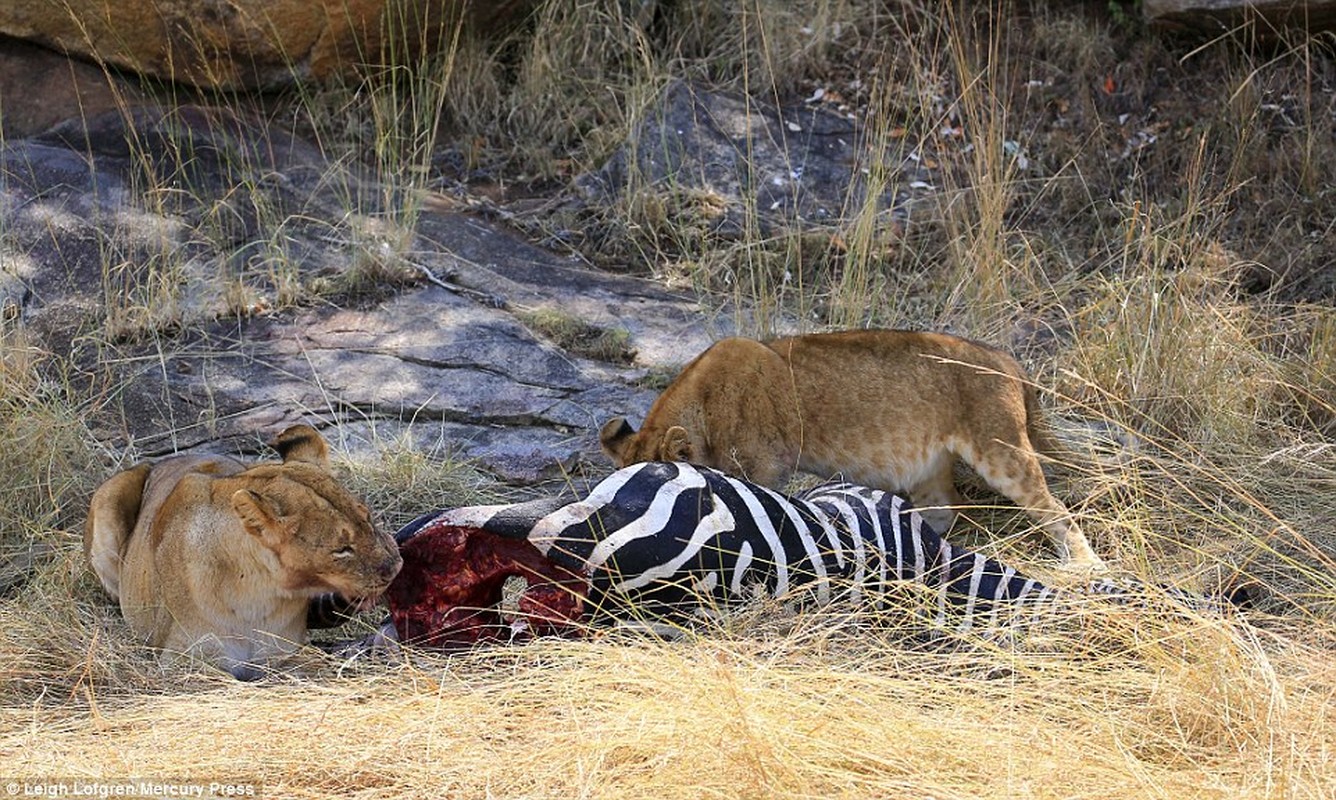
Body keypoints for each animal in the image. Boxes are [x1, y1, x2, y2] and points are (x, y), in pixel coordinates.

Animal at [84, 424, 400, 675]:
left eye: (368, 518)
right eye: (342, 549)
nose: (396, 566)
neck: (258, 594)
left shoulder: (283, 652)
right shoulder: (180, 661)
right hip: (110, 497)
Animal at [606, 331, 1106, 568]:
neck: (702, 407)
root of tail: (1008, 360)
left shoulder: (762, 467)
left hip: (1000, 447)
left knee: (1055, 509)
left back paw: (1084, 565)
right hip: (929, 467)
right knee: (944, 508)